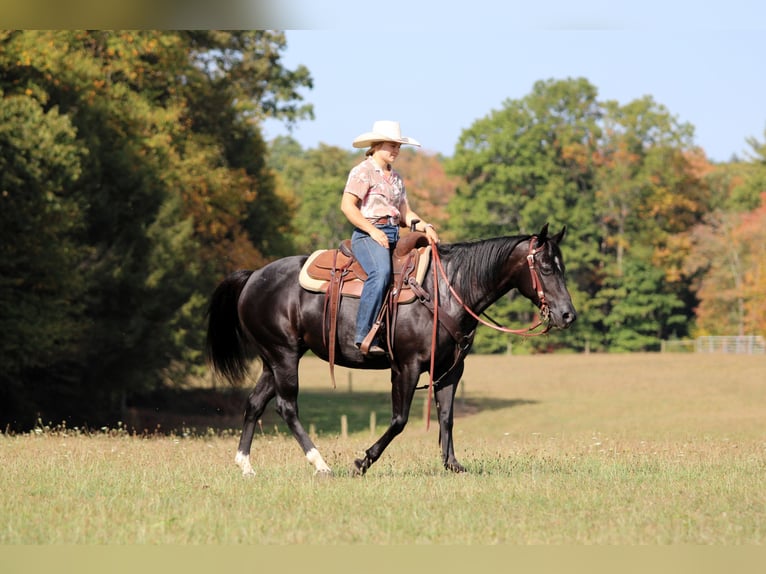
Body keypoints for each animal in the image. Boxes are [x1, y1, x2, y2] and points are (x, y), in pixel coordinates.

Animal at [205, 223, 576, 476]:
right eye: (546, 268)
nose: (568, 315)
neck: (445, 291)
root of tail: (253, 276)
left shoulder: (450, 370)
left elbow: (446, 416)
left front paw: (452, 464)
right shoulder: (406, 367)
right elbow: (399, 420)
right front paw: (362, 461)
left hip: (274, 360)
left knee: (254, 404)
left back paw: (246, 466)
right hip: (284, 357)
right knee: (287, 407)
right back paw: (321, 464)